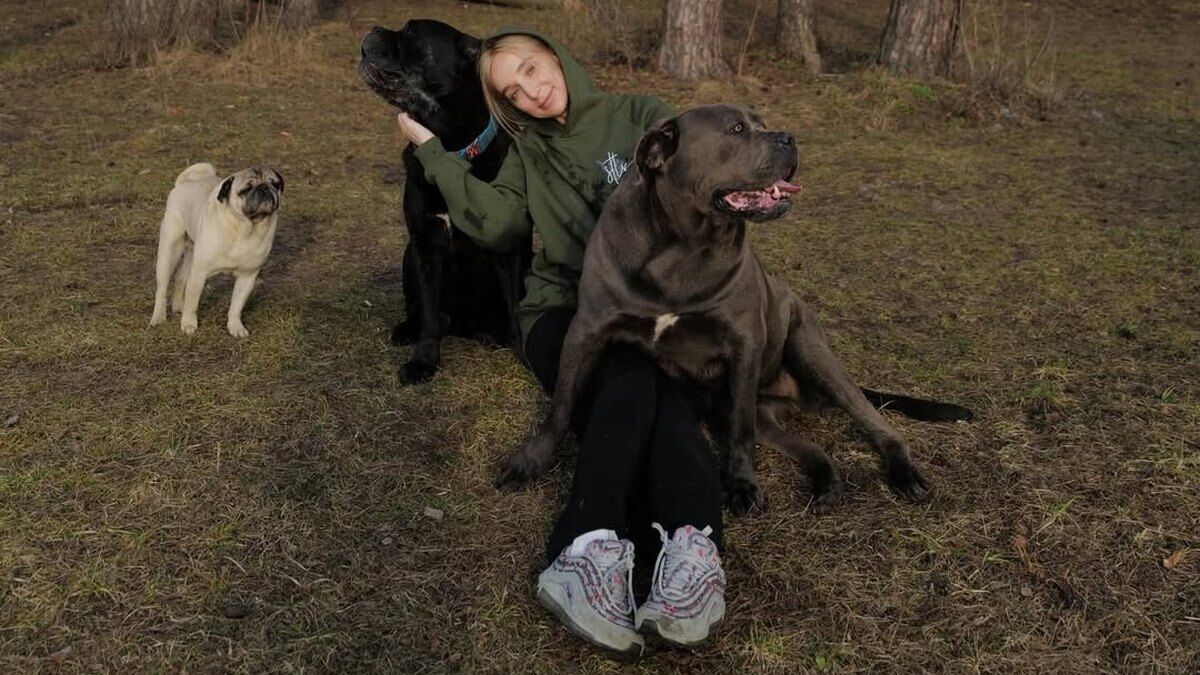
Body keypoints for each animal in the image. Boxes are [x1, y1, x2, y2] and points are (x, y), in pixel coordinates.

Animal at [150, 163, 284, 337]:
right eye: (246, 189)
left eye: (275, 184)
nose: (264, 188)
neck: (245, 229)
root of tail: (184, 184)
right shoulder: (199, 274)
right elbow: (192, 304)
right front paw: (188, 324)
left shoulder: (247, 277)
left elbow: (236, 306)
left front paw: (235, 327)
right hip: (170, 251)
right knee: (162, 288)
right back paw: (159, 317)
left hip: (192, 254)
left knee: (180, 278)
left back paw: (178, 306)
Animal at [358, 20, 531, 384]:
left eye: (411, 33)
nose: (374, 27)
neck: (451, 148)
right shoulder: (426, 243)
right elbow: (428, 312)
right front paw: (423, 361)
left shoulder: (510, 247)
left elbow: (516, 304)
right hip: (408, 255)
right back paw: (406, 330)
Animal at [495, 105, 973, 514]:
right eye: (737, 129)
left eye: (760, 123)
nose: (788, 137)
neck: (685, 245)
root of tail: (801, 398)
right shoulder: (587, 330)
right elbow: (560, 404)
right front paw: (531, 461)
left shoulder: (744, 342)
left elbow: (741, 432)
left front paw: (742, 485)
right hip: (762, 413)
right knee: (806, 445)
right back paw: (826, 482)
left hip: (812, 352)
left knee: (876, 422)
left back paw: (904, 472)